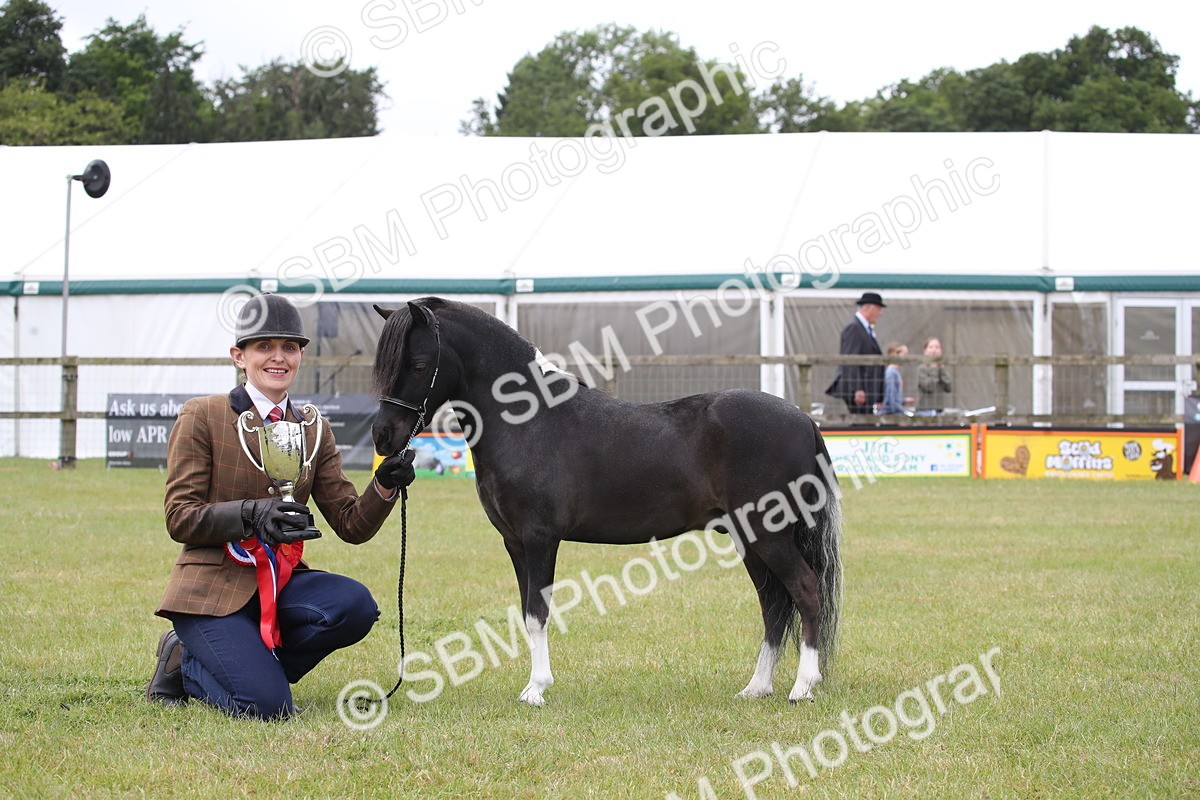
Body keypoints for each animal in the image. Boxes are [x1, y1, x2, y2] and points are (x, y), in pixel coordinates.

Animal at [371, 297, 842, 706]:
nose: (382, 436)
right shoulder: (515, 542)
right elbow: (526, 612)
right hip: (750, 539)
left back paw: (802, 687)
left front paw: (536, 689)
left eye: (418, 364)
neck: (529, 421)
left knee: (805, 591)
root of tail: (805, 420)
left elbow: (538, 611)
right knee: (773, 607)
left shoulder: (540, 538)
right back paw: (757, 688)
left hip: (770, 535)